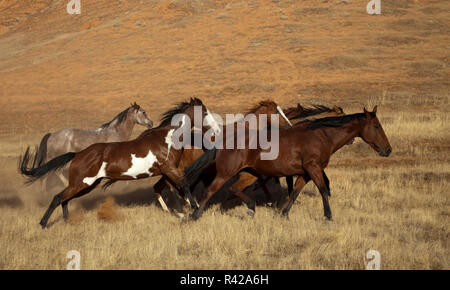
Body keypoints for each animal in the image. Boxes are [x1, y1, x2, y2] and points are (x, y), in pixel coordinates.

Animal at [20, 98, 221, 229]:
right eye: (205, 112)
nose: (218, 129)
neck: (167, 138)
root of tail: (78, 154)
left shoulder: (169, 171)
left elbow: (178, 188)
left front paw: (185, 210)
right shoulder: (170, 169)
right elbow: (183, 186)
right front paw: (194, 212)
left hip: (88, 185)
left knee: (64, 198)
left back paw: (68, 222)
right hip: (82, 182)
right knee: (57, 197)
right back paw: (43, 224)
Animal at [183, 106, 390, 220]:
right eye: (376, 126)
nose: (388, 150)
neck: (321, 135)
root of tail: (223, 141)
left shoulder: (305, 173)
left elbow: (295, 192)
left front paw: (284, 214)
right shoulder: (313, 168)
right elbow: (323, 190)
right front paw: (328, 216)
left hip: (250, 173)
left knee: (235, 189)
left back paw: (251, 209)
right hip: (226, 172)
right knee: (211, 190)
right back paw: (194, 215)